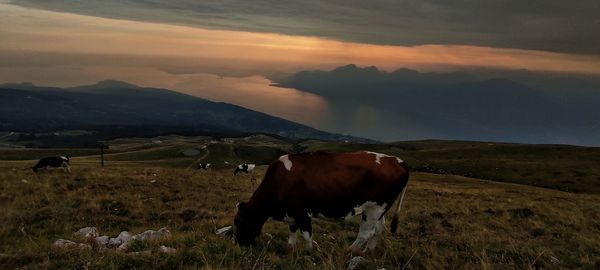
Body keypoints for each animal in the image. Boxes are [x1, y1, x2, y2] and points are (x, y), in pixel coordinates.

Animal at [233, 151, 408, 254]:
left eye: (239, 222)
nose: (238, 244)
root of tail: (398, 161)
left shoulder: (302, 212)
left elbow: (306, 235)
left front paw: (308, 253)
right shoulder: (292, 212)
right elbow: (292, 230)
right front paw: (290, 248)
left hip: (374, 209)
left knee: (366, 233)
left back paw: (349, 251)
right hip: (379, 209)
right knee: (378, 229)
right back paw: (367, 252)